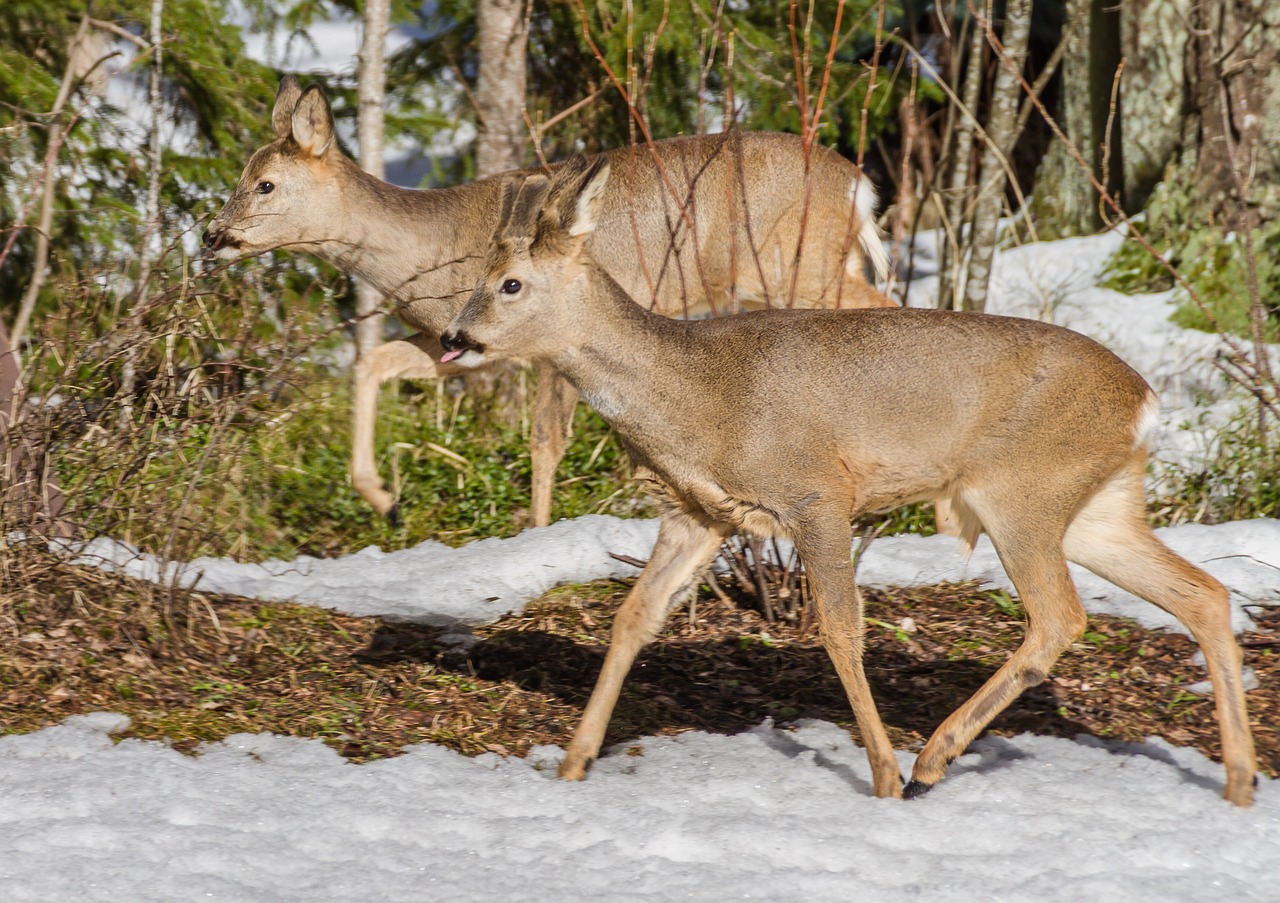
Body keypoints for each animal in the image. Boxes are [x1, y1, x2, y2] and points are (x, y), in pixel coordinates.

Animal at [204, 77, 896, 532]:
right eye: (242, 175)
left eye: (265, 184)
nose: (212, 236)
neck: (433, 250)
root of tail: (858, 185)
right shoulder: (459, 342)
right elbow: (371, 365)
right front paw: (384, 500)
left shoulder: (545, 339)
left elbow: (544, 439)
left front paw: (534, 531)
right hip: (822, 263)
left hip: (796, 263)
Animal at [440, 151, 1259, 804]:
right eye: (480, 279)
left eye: (509, 284)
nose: (453, 338)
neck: (697, 396)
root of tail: (1145, 401)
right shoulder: (701, 513)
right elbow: (634, 617)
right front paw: (575, 761)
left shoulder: (817, 493)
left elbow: (840, 627)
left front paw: (883, 774)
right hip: (1096, 507)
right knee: (1204, 593)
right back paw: (1240, 781)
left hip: (1019, 490)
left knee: (1061, 616)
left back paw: (931, 758)